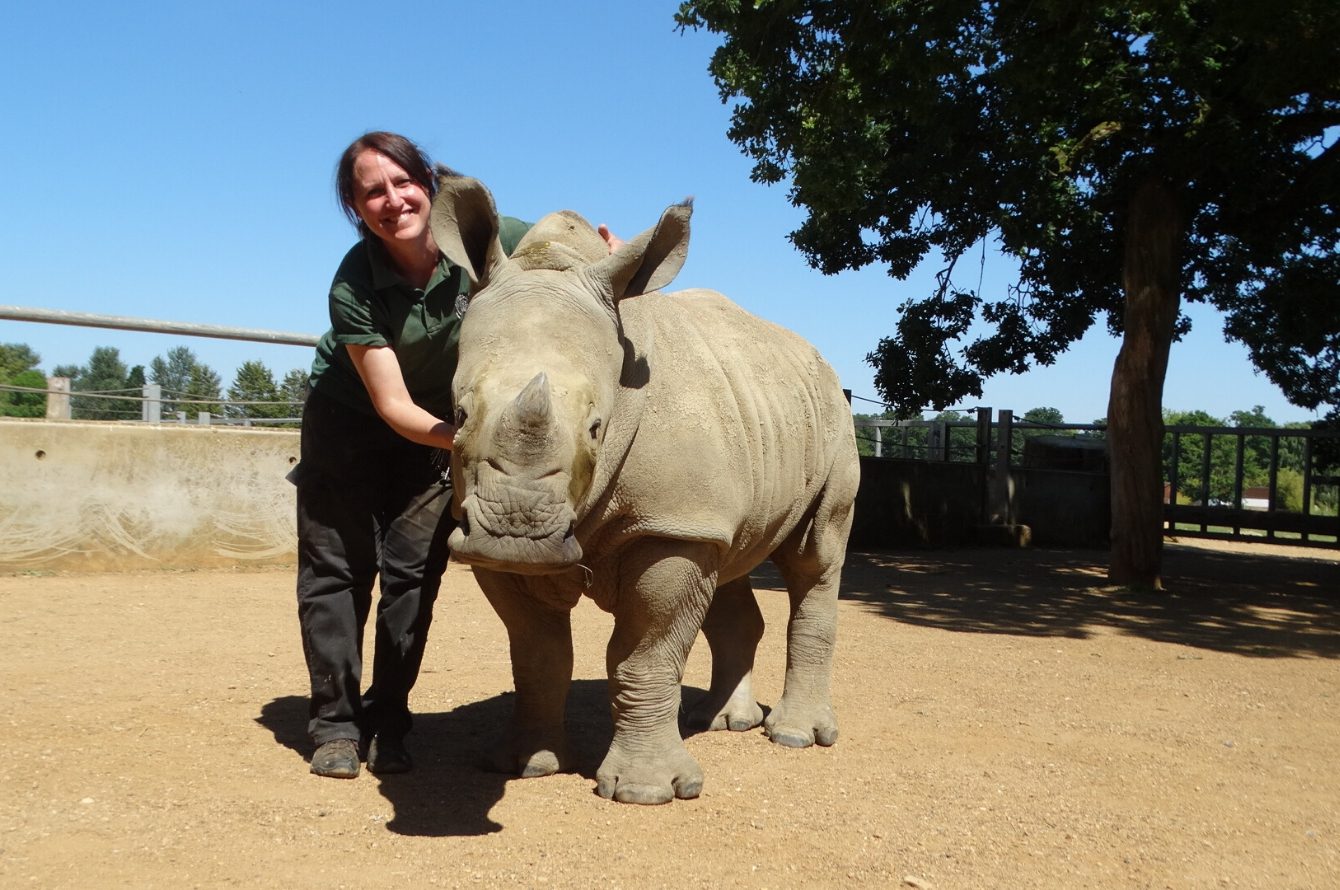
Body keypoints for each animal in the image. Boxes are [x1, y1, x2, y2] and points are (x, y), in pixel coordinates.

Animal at [434, 175, 862, 804]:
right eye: (459, 414)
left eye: (596, 427)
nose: (515, 534)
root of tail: (819, 361)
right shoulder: (682, 516)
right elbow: (537, 655)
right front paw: (526, 765)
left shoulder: (672, 525)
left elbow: (645, 654)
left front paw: (645, 791)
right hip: (746, 436)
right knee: (731, 561)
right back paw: (721, 722)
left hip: (832, 420)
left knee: (816, 557)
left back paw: (793, 736)